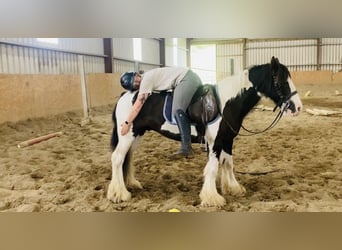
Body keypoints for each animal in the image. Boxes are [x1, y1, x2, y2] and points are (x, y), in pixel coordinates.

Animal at [107, 57, 302, 207]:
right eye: (281, 81)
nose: (298, 107)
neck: (226, 103)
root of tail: (125, 95)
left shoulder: (228, 139)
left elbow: (228, 163)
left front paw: (233, 188)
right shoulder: (214, 142)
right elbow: (213, 167)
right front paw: (212, 197)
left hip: (136, 134)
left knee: (128, 157)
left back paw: (131, 184)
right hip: (127, 134)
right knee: (117, 159)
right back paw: (119, 193)